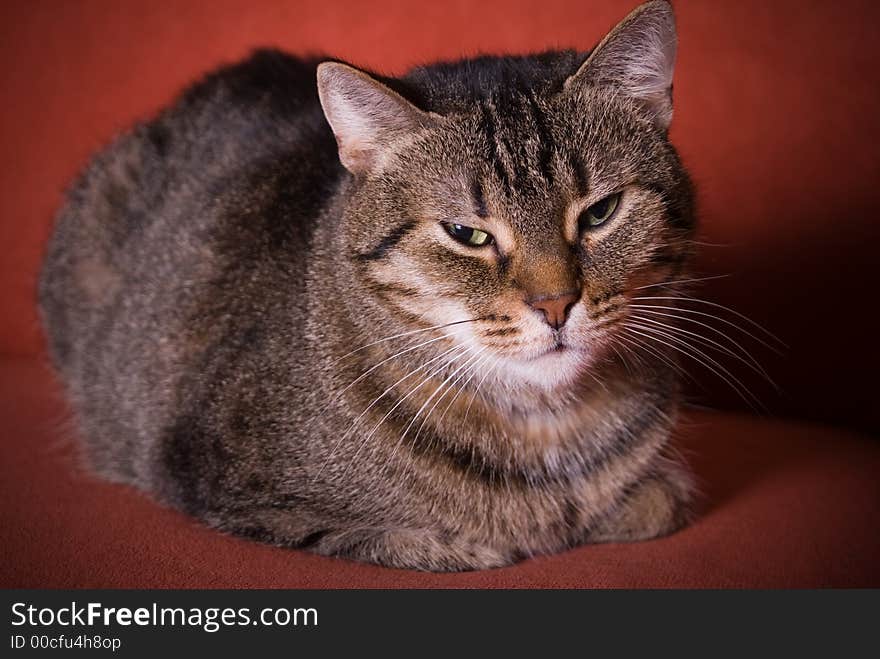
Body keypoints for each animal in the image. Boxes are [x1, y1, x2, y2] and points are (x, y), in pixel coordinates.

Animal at [39, 1, 696, 572]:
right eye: (467, 233)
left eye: (600, 212)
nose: (555, 303)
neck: (546, 428)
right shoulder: (218, 480)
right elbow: (401, 536)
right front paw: (484, 539)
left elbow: (658, 501)